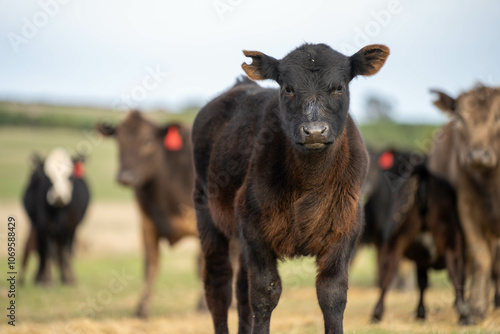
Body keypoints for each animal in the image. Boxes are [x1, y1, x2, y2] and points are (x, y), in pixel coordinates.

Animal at [95, 111, 197, 318]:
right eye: (119, 139)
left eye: (148, 141)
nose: (125, 177)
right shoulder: (146, 223)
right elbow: (151, 264)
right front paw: (142, 308)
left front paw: (204, 306)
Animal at [191, 43, 390, 332]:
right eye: (287, 88)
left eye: (339, 87)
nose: (315, 131)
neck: (309, 183)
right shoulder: (255, 231)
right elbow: (265, 294)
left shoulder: (344, 230)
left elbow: (332, 295)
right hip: (207, 213)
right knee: (219, 286)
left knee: (240, 289)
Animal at [428, 85, 500, 322]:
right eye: (460, 117)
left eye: (498, 116)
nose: (477, 155)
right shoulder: (466, 210)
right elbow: (479, 257)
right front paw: (476, 308)